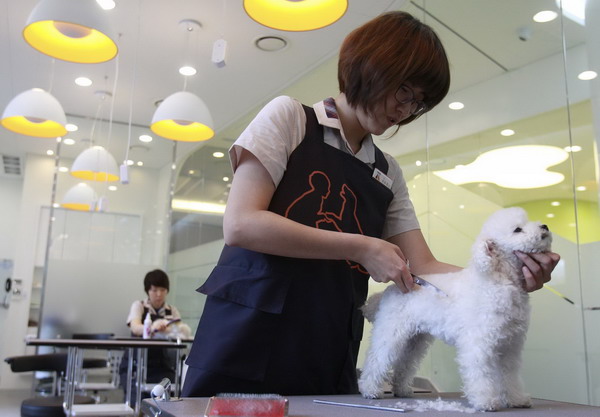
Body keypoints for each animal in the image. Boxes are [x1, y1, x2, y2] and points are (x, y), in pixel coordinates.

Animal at [356, 206, 552, 412]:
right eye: (517, 230)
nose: (545, 227)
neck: (497, 279)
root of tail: (391, 289)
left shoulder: (510, 346)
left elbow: (510, 375)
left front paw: (516, 398)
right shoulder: (478, 344)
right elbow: (481, 375)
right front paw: (486, 401)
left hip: (415, 340)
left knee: (404, 364)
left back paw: (402, 389)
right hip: (391, 333)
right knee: (377, 359)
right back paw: (370, 389)